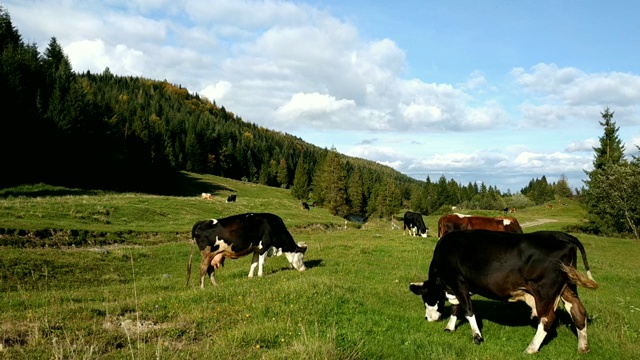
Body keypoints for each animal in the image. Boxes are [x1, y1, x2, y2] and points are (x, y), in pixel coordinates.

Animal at [410, 229, 596, 352]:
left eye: (426, 298)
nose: (427, 318)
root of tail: (562, 236)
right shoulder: (460, 286)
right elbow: (458, 307)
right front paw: (450, 327)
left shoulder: (458, 281)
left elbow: (468, 309)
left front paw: (477, 337)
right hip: (567, 287)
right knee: (578, 312)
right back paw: (583, 347)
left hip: (545, 291)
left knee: (547, 319)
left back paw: (531, 348)